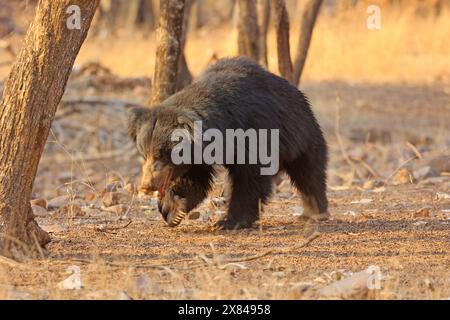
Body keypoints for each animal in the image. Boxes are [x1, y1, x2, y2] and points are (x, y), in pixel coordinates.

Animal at [128, 56, 328, 229]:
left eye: (161, 154)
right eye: (144, 154)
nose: (147, 185)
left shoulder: (253, 129)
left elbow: (250, 177)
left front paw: (228, 222)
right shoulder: (197, 155)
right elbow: (194, 180)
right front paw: (172, 210)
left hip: (301, 134)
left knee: (309, 173)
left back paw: (313, 213)